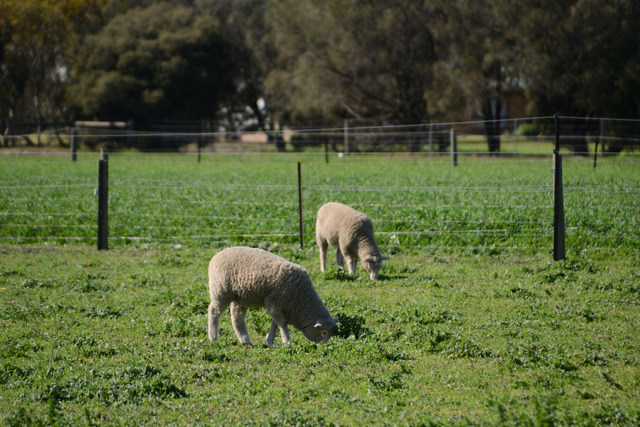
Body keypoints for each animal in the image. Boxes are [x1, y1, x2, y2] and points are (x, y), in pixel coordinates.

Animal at [209, 247, 340, 348]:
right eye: (324, 333)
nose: (328, 346)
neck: (300, 298)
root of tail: (217, 255)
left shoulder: (278, 307)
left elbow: (275, 323)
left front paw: (270, 341)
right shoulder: (273, 303)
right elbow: (281, 323)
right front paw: (286, 341)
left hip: (240, 296)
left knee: (237, 318)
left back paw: (245, 341)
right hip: (221, 291)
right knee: (214, 312)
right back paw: (213, 338)